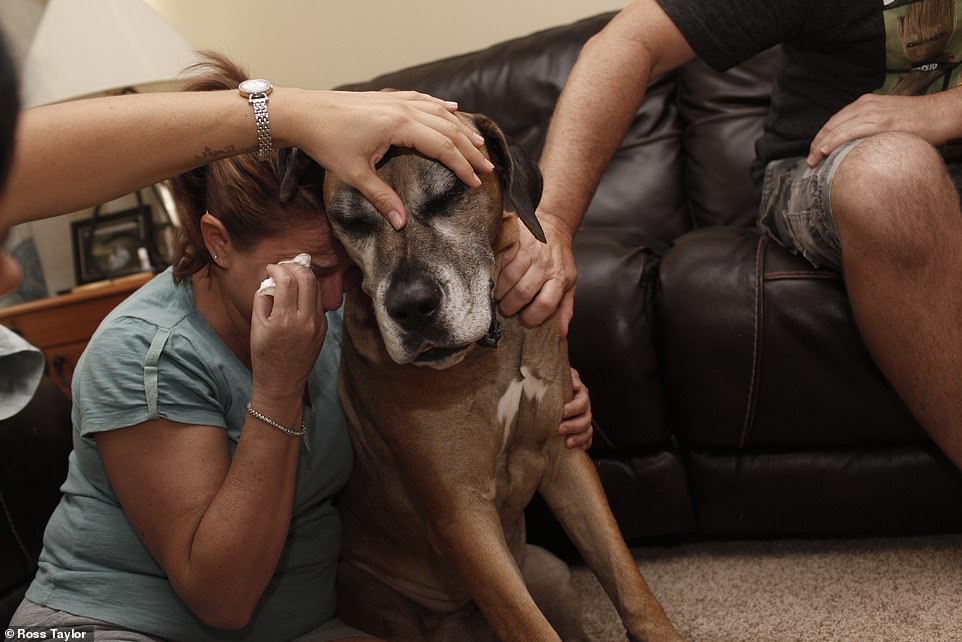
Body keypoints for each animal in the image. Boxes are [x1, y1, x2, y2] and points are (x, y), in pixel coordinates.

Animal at [282, 114, 680, 640]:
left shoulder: (565, 459)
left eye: (449, 194)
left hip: (551, 574)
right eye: (352, 221)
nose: (411, 307)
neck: (490, 352)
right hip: (380, 602)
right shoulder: (462, 513)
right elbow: (528, 624)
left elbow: (627, 579)